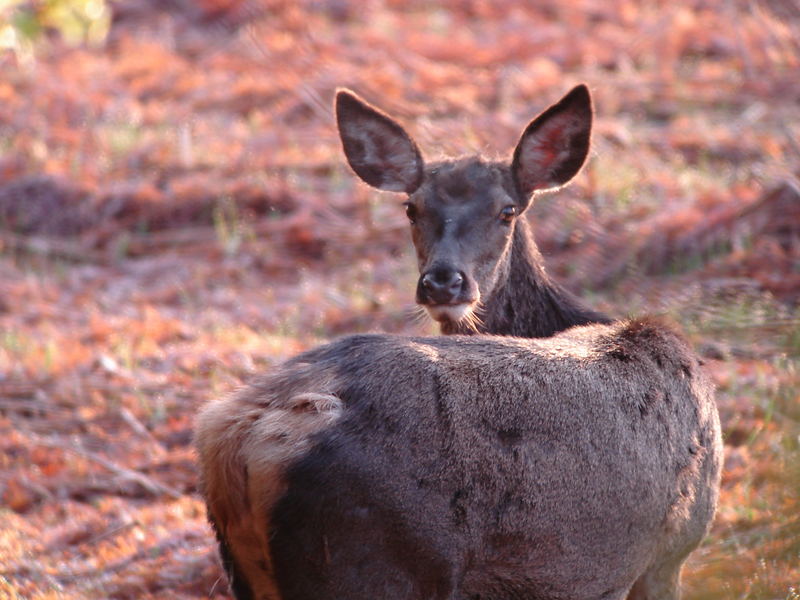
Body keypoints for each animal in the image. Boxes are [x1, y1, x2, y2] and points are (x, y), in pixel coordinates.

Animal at [195, 85, 724, 600]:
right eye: (412, 207)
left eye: (507, 210)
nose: (443, 281)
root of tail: (239, 435)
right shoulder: (667, 554)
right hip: (364, 560)